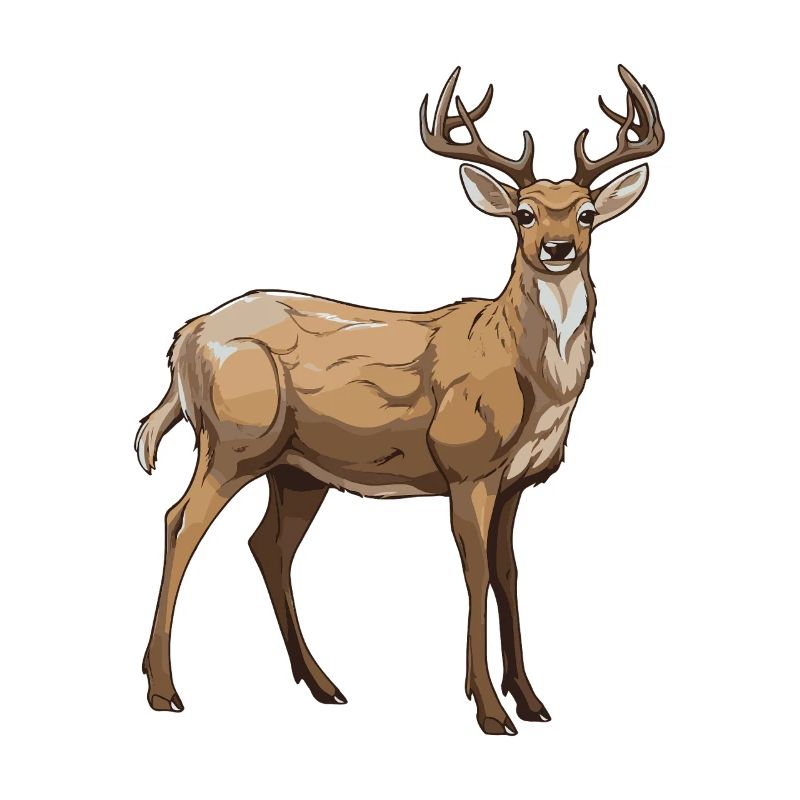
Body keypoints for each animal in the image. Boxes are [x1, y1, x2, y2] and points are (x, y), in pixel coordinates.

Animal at [136, 65, 664, 735]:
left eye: (588, 213)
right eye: (523, 214)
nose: (557, 248)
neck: (531, 380)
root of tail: (185, 338)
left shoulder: (518, 480)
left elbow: (509, 574)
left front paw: (532, 700)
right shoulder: (466, 465)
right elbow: (474, 573)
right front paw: (489, 710)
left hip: (298, 469)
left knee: (268, 545)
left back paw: (322, 684)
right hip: (234, 440)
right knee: (180, 522)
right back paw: (163, 689)